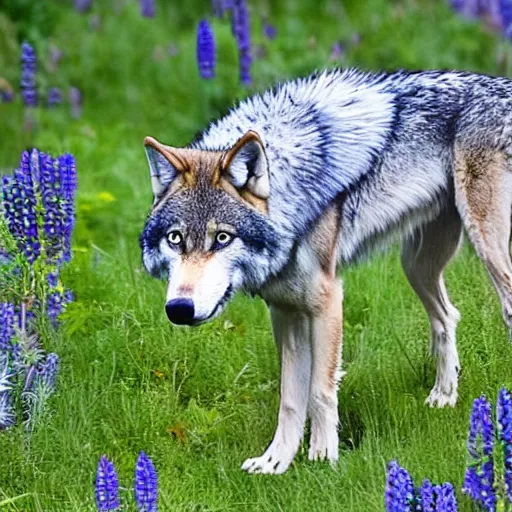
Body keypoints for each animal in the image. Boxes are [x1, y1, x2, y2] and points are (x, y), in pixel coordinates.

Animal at [140, 67, 512, 472]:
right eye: (175, 239)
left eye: (222, 238)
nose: (179, 309)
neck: (287, 200)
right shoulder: (285, 311)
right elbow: (290, 399)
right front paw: (275, 463)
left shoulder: (327, 301)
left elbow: (319, 390)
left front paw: (322, 458)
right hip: (416, 266)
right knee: (447, 317)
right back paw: (444, 396)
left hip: (488, 250)